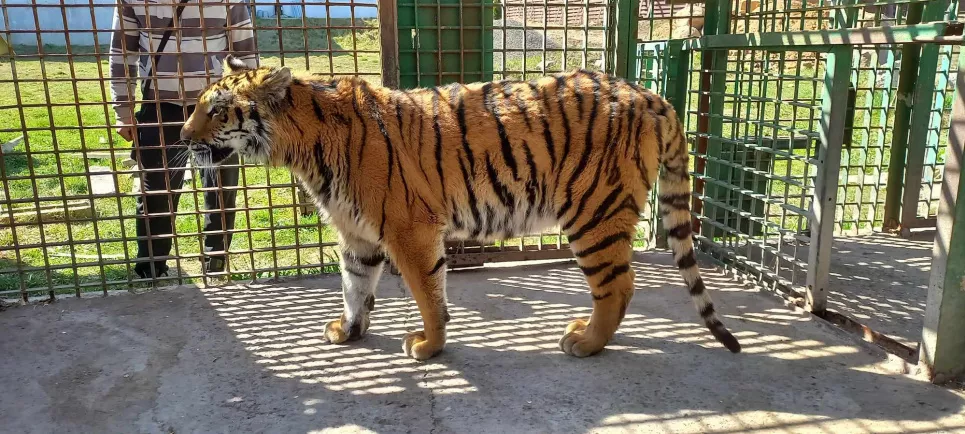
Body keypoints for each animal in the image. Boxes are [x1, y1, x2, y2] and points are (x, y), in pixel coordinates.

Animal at [179, 55, 741, 361]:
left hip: (593, 212)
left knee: (619, 286)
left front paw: (428, 346)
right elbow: (354, 287)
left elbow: (429, 296)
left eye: (216, 110)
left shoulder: (408, 230)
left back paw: (586, 343)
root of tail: (652, 96)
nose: (182, 138)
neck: (303, 147)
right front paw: (349, 332)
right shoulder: (357, 235)